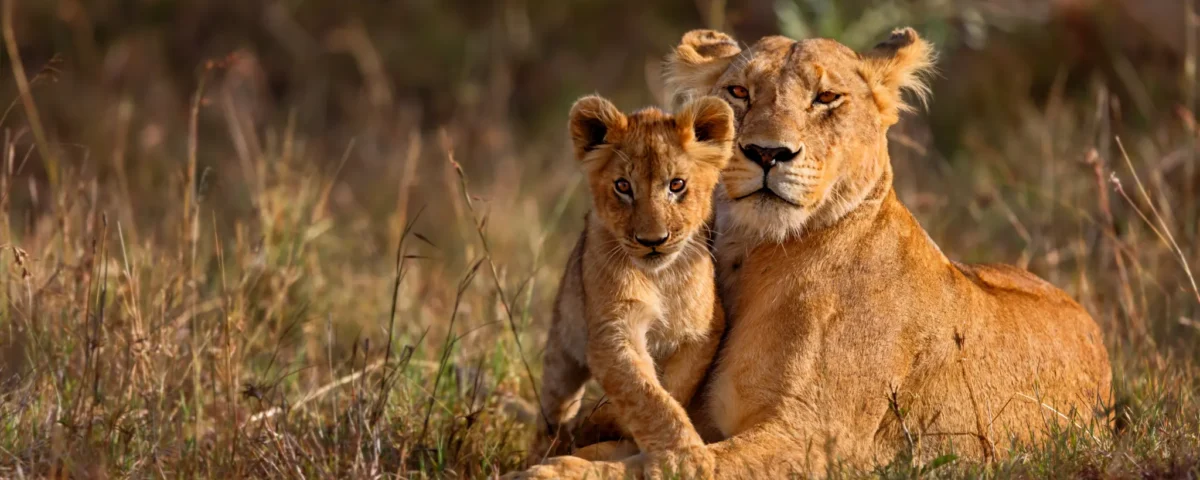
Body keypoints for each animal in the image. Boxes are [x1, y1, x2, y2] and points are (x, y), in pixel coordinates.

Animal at [526, 94, 733, 470]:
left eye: (677, 185)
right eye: (623, 186)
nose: (653, 240)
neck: (660, 276)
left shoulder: (702, 331)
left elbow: (672, 388)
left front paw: (607, 422)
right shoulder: (613, 331)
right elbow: (646, 395)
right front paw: (684, 459)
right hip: (562, 348)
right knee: (553, 408)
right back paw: (546, 448)